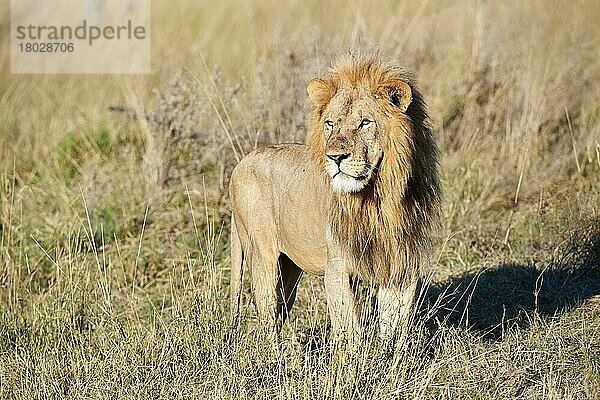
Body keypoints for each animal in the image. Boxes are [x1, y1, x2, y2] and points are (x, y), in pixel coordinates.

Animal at [227, 53, 438, 340]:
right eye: (330, 123)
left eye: (364, 122)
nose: (335, 157)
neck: (377, 197)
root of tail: (240, 163)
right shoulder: (337, 268)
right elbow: (350, 329)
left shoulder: (400, 263)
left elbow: (395, 327)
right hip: (262, 254)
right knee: (267, 315)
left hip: (289, 268)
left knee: (280, 311)